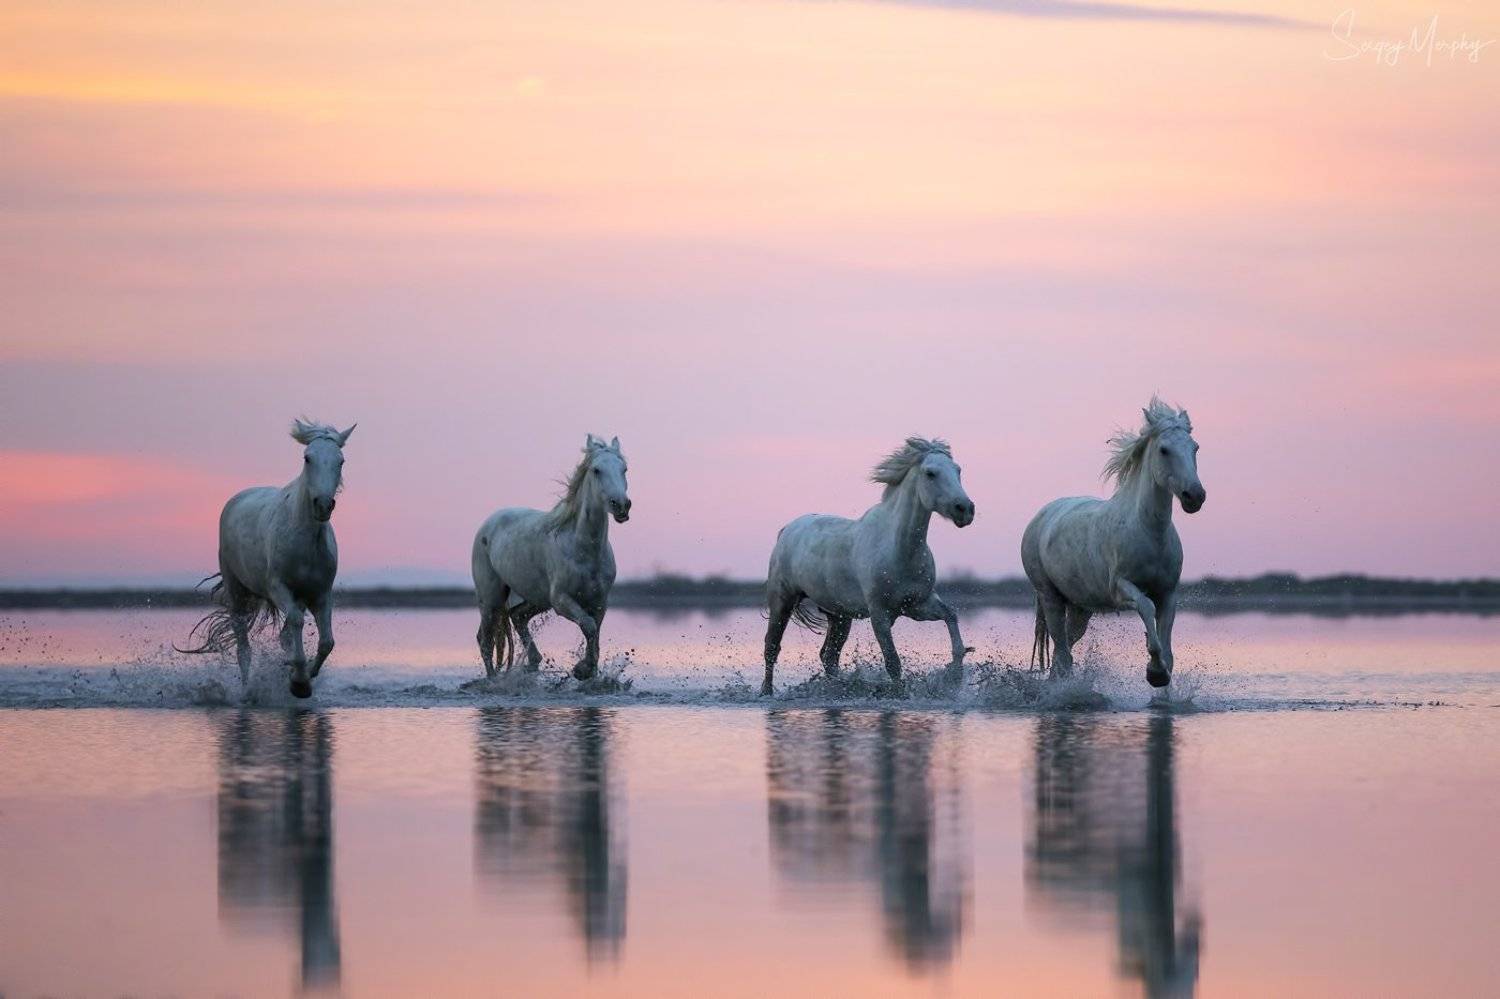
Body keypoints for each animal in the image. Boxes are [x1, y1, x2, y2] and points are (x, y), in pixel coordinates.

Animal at [178, 419, 355, 698]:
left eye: (341, 460)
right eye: (307, 458)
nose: (323, 505)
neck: (304, 539)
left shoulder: (320, 594)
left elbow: (327, 642)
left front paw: (303, 677)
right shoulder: (278, 588)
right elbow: (296, 622)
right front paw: (299, 682)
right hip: (236, 591)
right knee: (243, 646)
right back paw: (247, 691)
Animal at [472, 435, 631, 681]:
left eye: (624, 469)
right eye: (596, 470)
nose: (621, 505)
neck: (584, 549)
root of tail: (488, 523)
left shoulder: (600, 602)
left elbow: (595, 636)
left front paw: (589, 673)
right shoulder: (561, 599)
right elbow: (588, 626)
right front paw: (581, 669)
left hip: (537, 598)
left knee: (517, 616)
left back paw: (533, 662)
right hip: (491, 599)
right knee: (485, 640)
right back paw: (493, 681)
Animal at [762, 437, 975, 696]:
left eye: (958, 470)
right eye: (930, 473)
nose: (965, 509)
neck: (899, 549)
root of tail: (787, 529)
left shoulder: (918, 605)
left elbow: (951, 617)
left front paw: (955, 674)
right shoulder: (879, 613)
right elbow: (892, 662)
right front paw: (899, 693)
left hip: (839, 615)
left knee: (828, 657)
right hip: (782, 600)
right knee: (772, 647)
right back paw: (766, 692)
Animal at [1021, 397, 1205, 688]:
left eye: (1194, 447)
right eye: (1164, 450)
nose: (1194, 496)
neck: (1149, 532)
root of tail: (1040, 516)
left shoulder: (1168, 593)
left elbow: (1168, 652)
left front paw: (1161, 678)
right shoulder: (1120, 588)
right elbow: (1146, 607)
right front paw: (1154, 671)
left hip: (1080, 608)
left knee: (1066, 652)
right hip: (1050, 597)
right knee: (1062, 653)